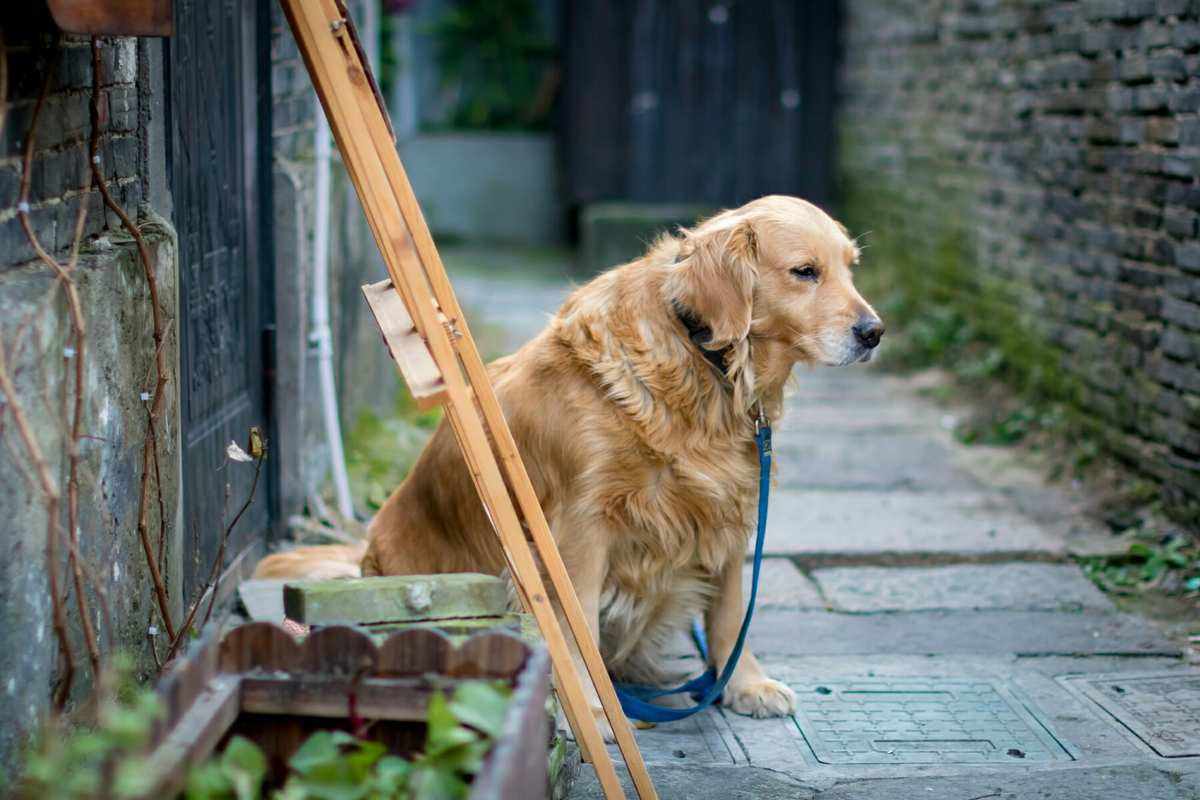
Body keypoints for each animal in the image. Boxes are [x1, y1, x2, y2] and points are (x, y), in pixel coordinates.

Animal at [258, 194, 883, 738]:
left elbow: (732, 611)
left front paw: (745, 684)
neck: (703, 364)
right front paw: (595, 709)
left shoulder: (730, 504)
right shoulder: (583, 527)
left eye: (851, 268)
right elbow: (577, 620)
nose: (874, 332)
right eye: (805, 272)